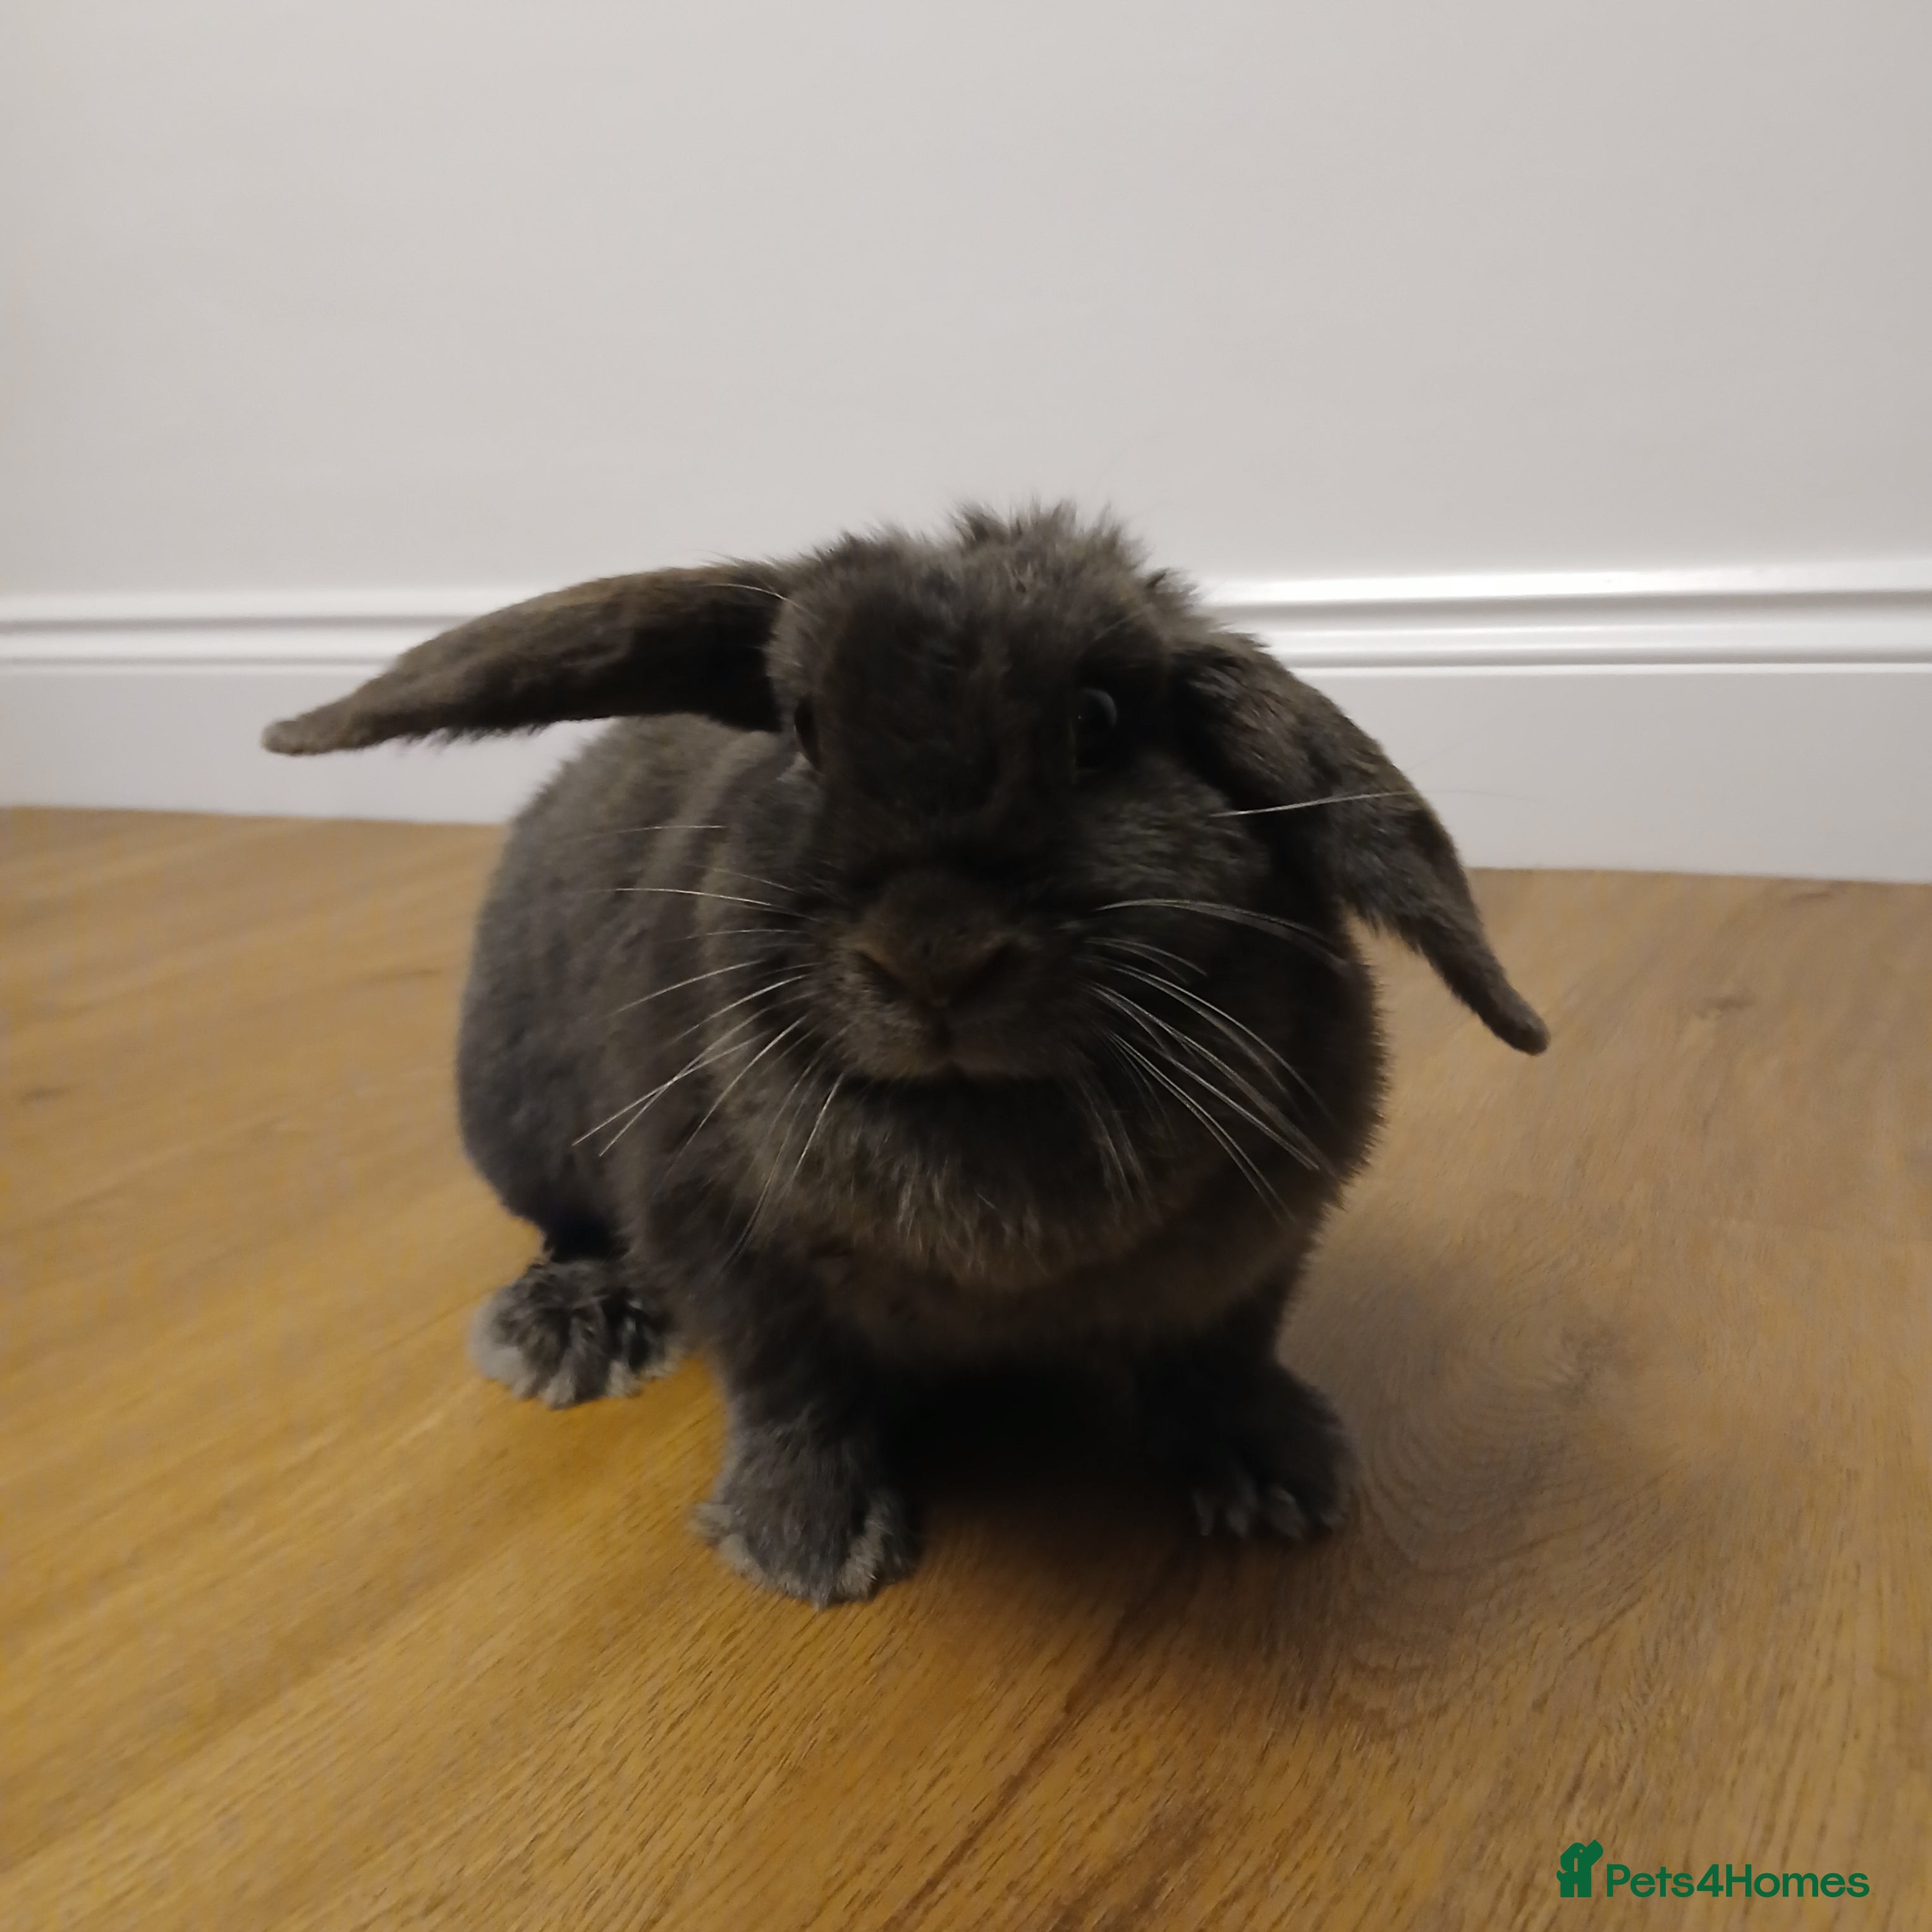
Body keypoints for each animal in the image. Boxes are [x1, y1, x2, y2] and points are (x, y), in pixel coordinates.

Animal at [264, 505, 1547, 1606]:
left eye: (1097, 723)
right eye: (803, 732)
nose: (933, 959)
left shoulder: (1259, 1247)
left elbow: (1224, 1353)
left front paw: (1278, 1473)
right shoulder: (734, 1256)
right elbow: (796, 1392)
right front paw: (807, 1544)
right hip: (520, 1119)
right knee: (569, 1229)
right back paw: (573, 1330)